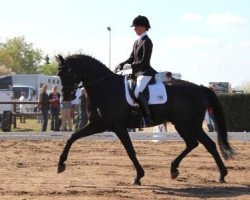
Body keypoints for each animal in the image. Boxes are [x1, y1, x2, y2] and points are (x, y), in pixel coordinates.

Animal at [56, 53, 234, 184]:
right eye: (59, 74)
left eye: (68, 73)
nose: (66, 98)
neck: (106, 88)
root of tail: (200, 88)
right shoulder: (98, 124)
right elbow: (72, 137)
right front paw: (61, 164)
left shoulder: (119, 127)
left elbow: (130, 151)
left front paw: (138, 176)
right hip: (184, 125)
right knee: (195, 144)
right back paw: (177, 169)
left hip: (188, 124)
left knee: (206, 144)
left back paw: (220, 174)